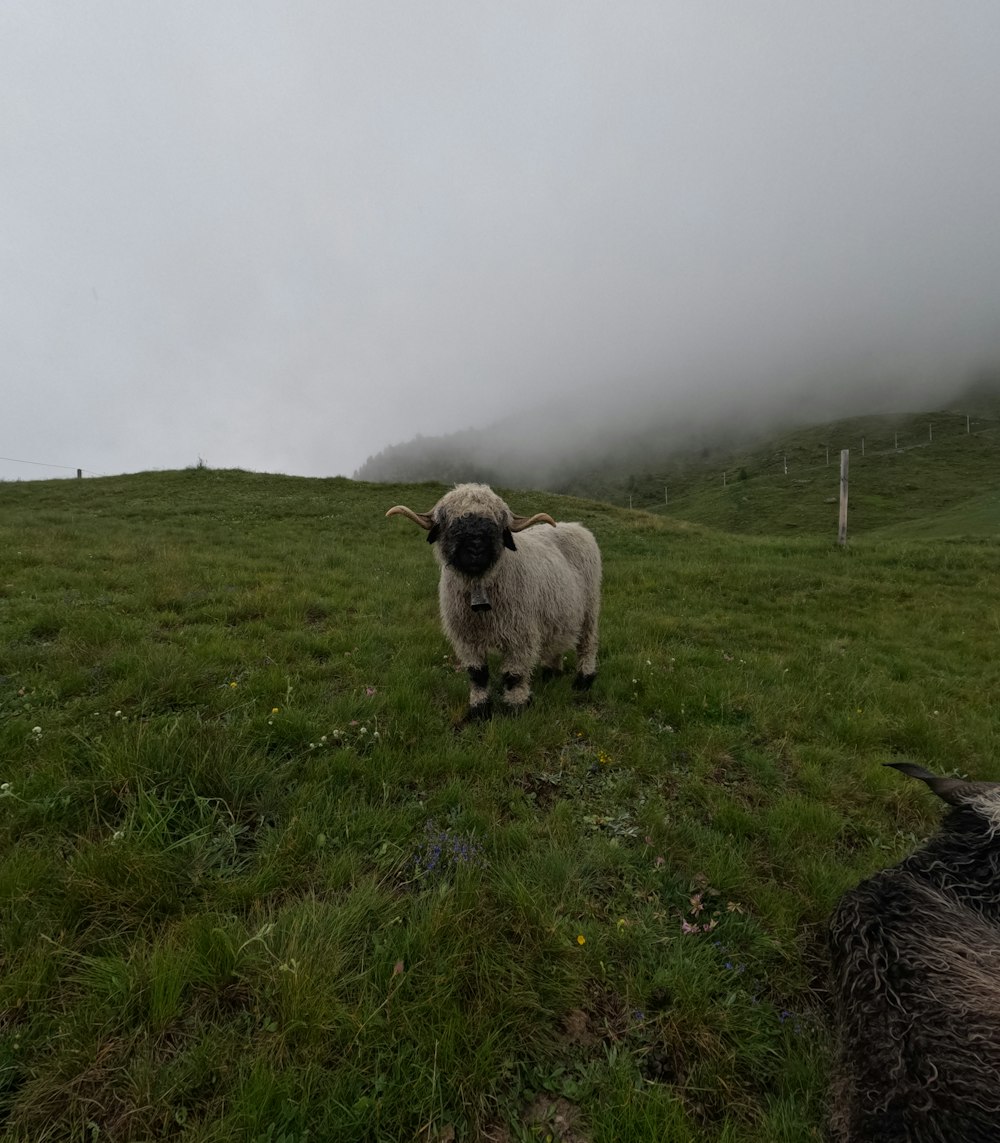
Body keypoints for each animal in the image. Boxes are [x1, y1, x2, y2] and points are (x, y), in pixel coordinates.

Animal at [386, 480, 598, 713]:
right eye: (452, 524)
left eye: (496, 525)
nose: (476, 550)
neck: (480, 587)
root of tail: (576, 526)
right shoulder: (466, 639)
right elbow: (477, 675)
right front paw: (479, 709)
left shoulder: (520, 635)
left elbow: (514, 675)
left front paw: (516, 707)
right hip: (557, 613)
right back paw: (551, 672)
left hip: (590, 609)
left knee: (588, 644)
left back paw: (584, 680)